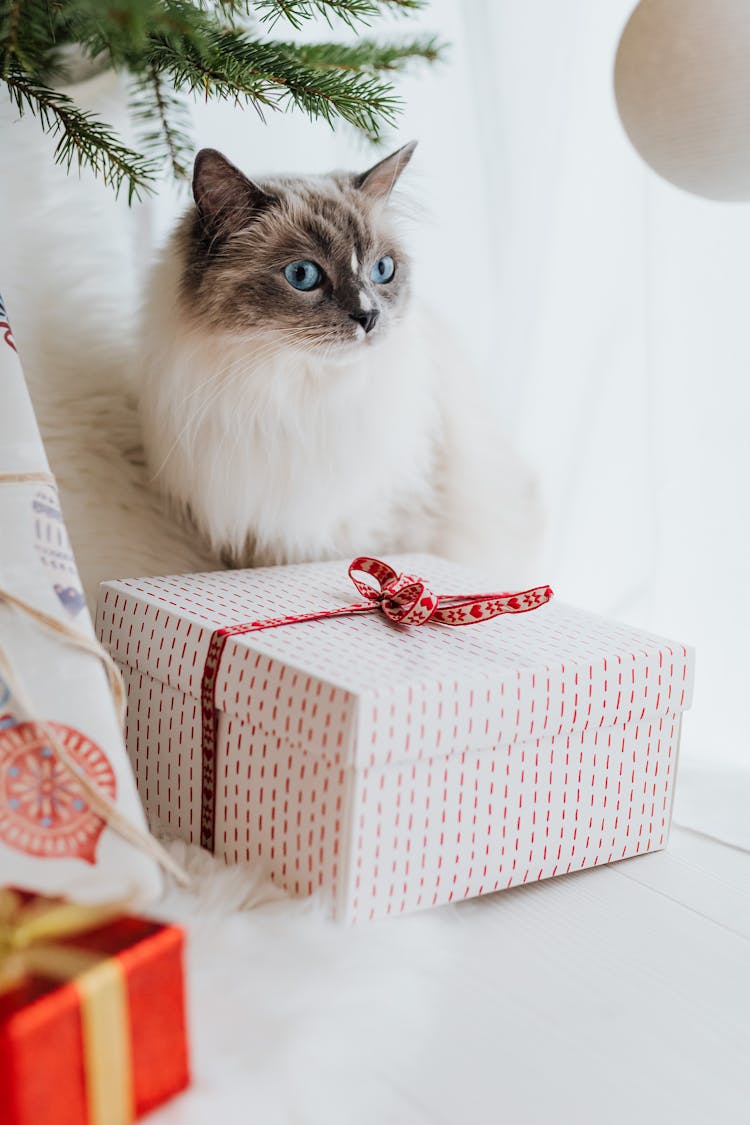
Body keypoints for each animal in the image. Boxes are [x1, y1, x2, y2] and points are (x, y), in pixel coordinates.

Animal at [137, 144, 541, 580]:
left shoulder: (384, 530)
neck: (299, 396)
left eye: (382, 270)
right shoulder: (248, 537)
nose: (370, 316)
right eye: (302, 275)